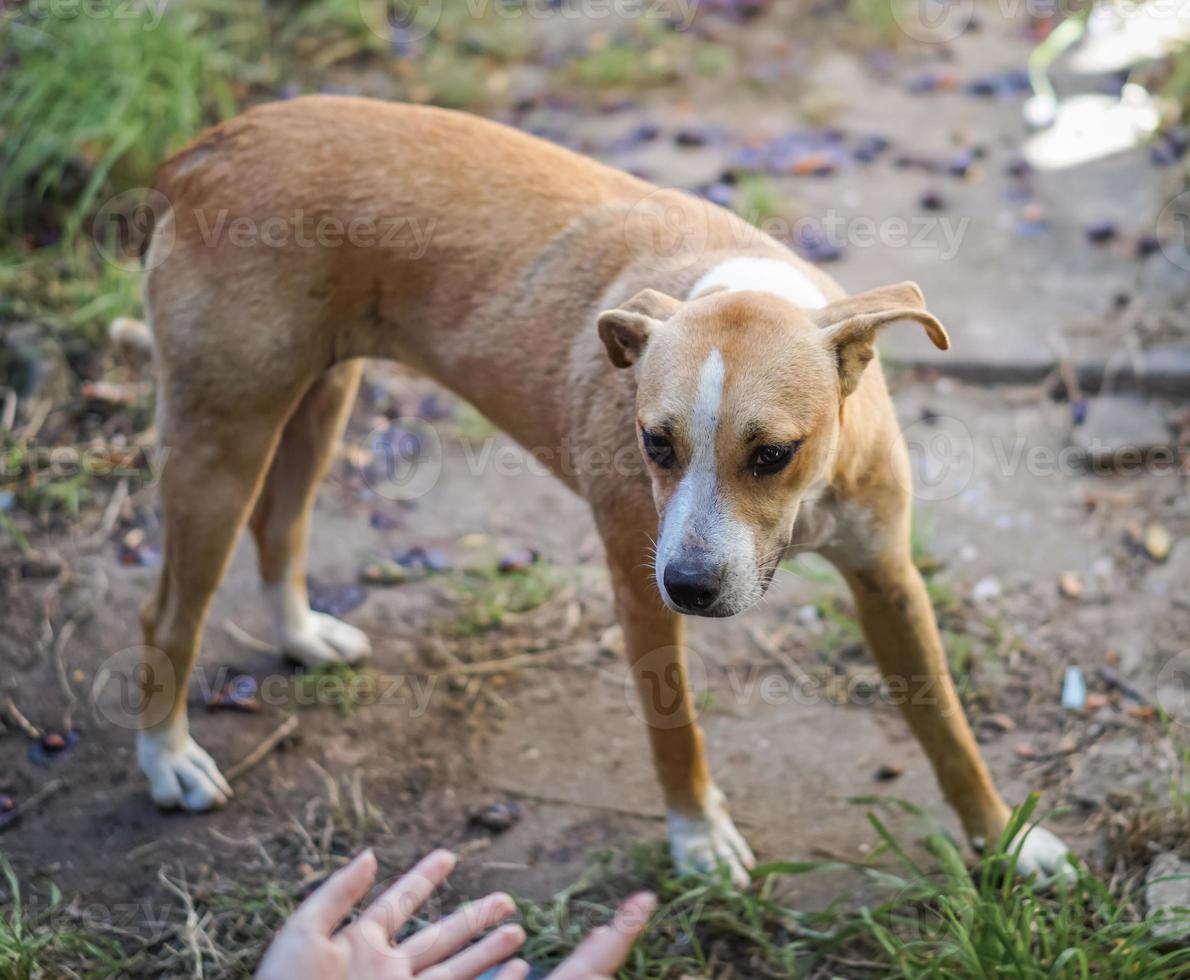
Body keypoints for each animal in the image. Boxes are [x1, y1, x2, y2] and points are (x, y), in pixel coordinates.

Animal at [135, 95, 1075, 884]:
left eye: (773, 454)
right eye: (654, 443)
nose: (690, 585)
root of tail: (207, 150)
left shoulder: (889, 580)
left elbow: (946, 725)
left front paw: (1007, 839)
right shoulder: (639, 589)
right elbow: (674, 730)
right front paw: (698, 838)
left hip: (319, 403)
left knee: (281, 527)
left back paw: (301, 636)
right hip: (222, 443)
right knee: (168, 615)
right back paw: (168, 760)